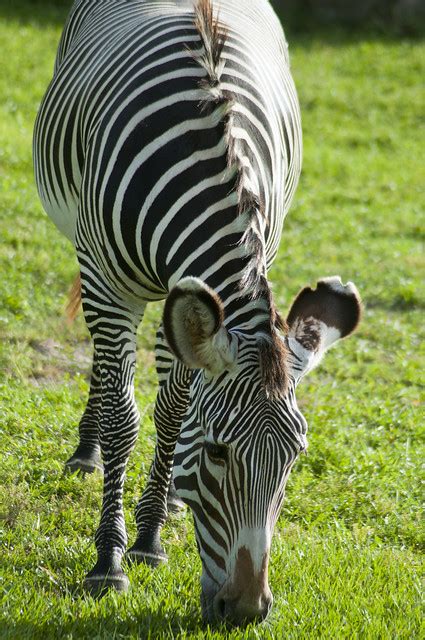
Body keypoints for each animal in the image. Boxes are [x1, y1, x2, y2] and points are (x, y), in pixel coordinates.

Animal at [32, 0, 362, 624]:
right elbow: (124, 418)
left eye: (295, 459)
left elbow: (173, 413)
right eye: (216, 453)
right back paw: (87, 450)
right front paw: (109, 559)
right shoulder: (109, 282)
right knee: (105, 372)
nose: (248, 611)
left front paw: (150, 535)